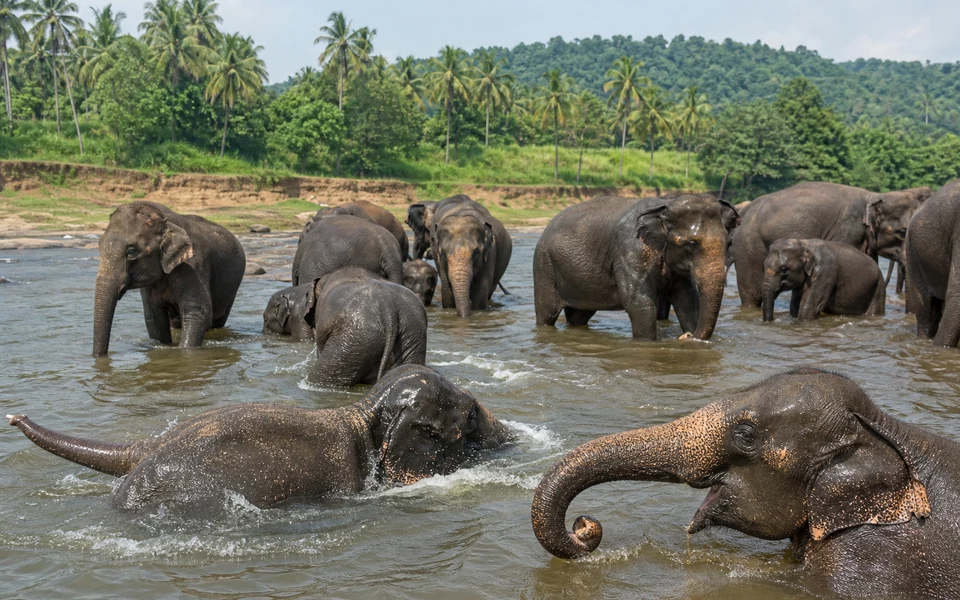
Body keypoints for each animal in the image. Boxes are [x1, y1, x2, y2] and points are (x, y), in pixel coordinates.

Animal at [93, 201, 245, 357]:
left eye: (131, 252)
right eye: (99, 246)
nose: (100, 356)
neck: (165, 220)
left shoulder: (194, 265)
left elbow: (198, 314)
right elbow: (155, 318)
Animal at [534, 194, 737, 340]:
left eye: (728, 244)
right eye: (691, 244)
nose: (687, 336)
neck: (666, 204)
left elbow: (688, 300)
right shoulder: (631, 252)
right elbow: (639, 304)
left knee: (579, 316)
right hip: (544, 267)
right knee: (547, 314)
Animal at [731, 182, 931, 307]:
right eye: (902, 233)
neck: (875, 196)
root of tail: (744, 211)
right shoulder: (847, 232)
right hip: (749, 246)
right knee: (751, 295)